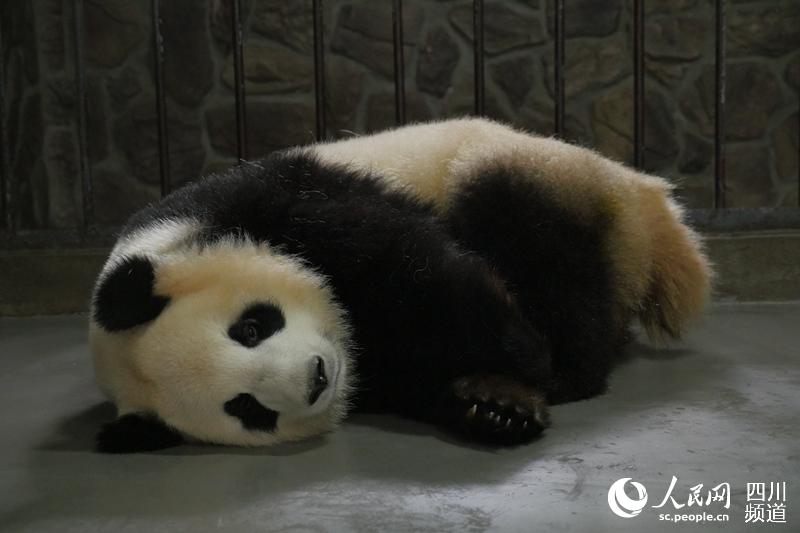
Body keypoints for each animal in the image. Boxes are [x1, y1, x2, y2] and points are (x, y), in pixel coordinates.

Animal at [89, 117, 712, 453]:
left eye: (248, 328)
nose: (317, 377)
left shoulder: (276, 201)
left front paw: (521, 366)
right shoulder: (375, 368)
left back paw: (566, 368)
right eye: (246, 408)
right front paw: (492, 405)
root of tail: (644, 198)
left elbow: (411, 260)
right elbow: (410, 373)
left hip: (552, 179)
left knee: (535, 236)